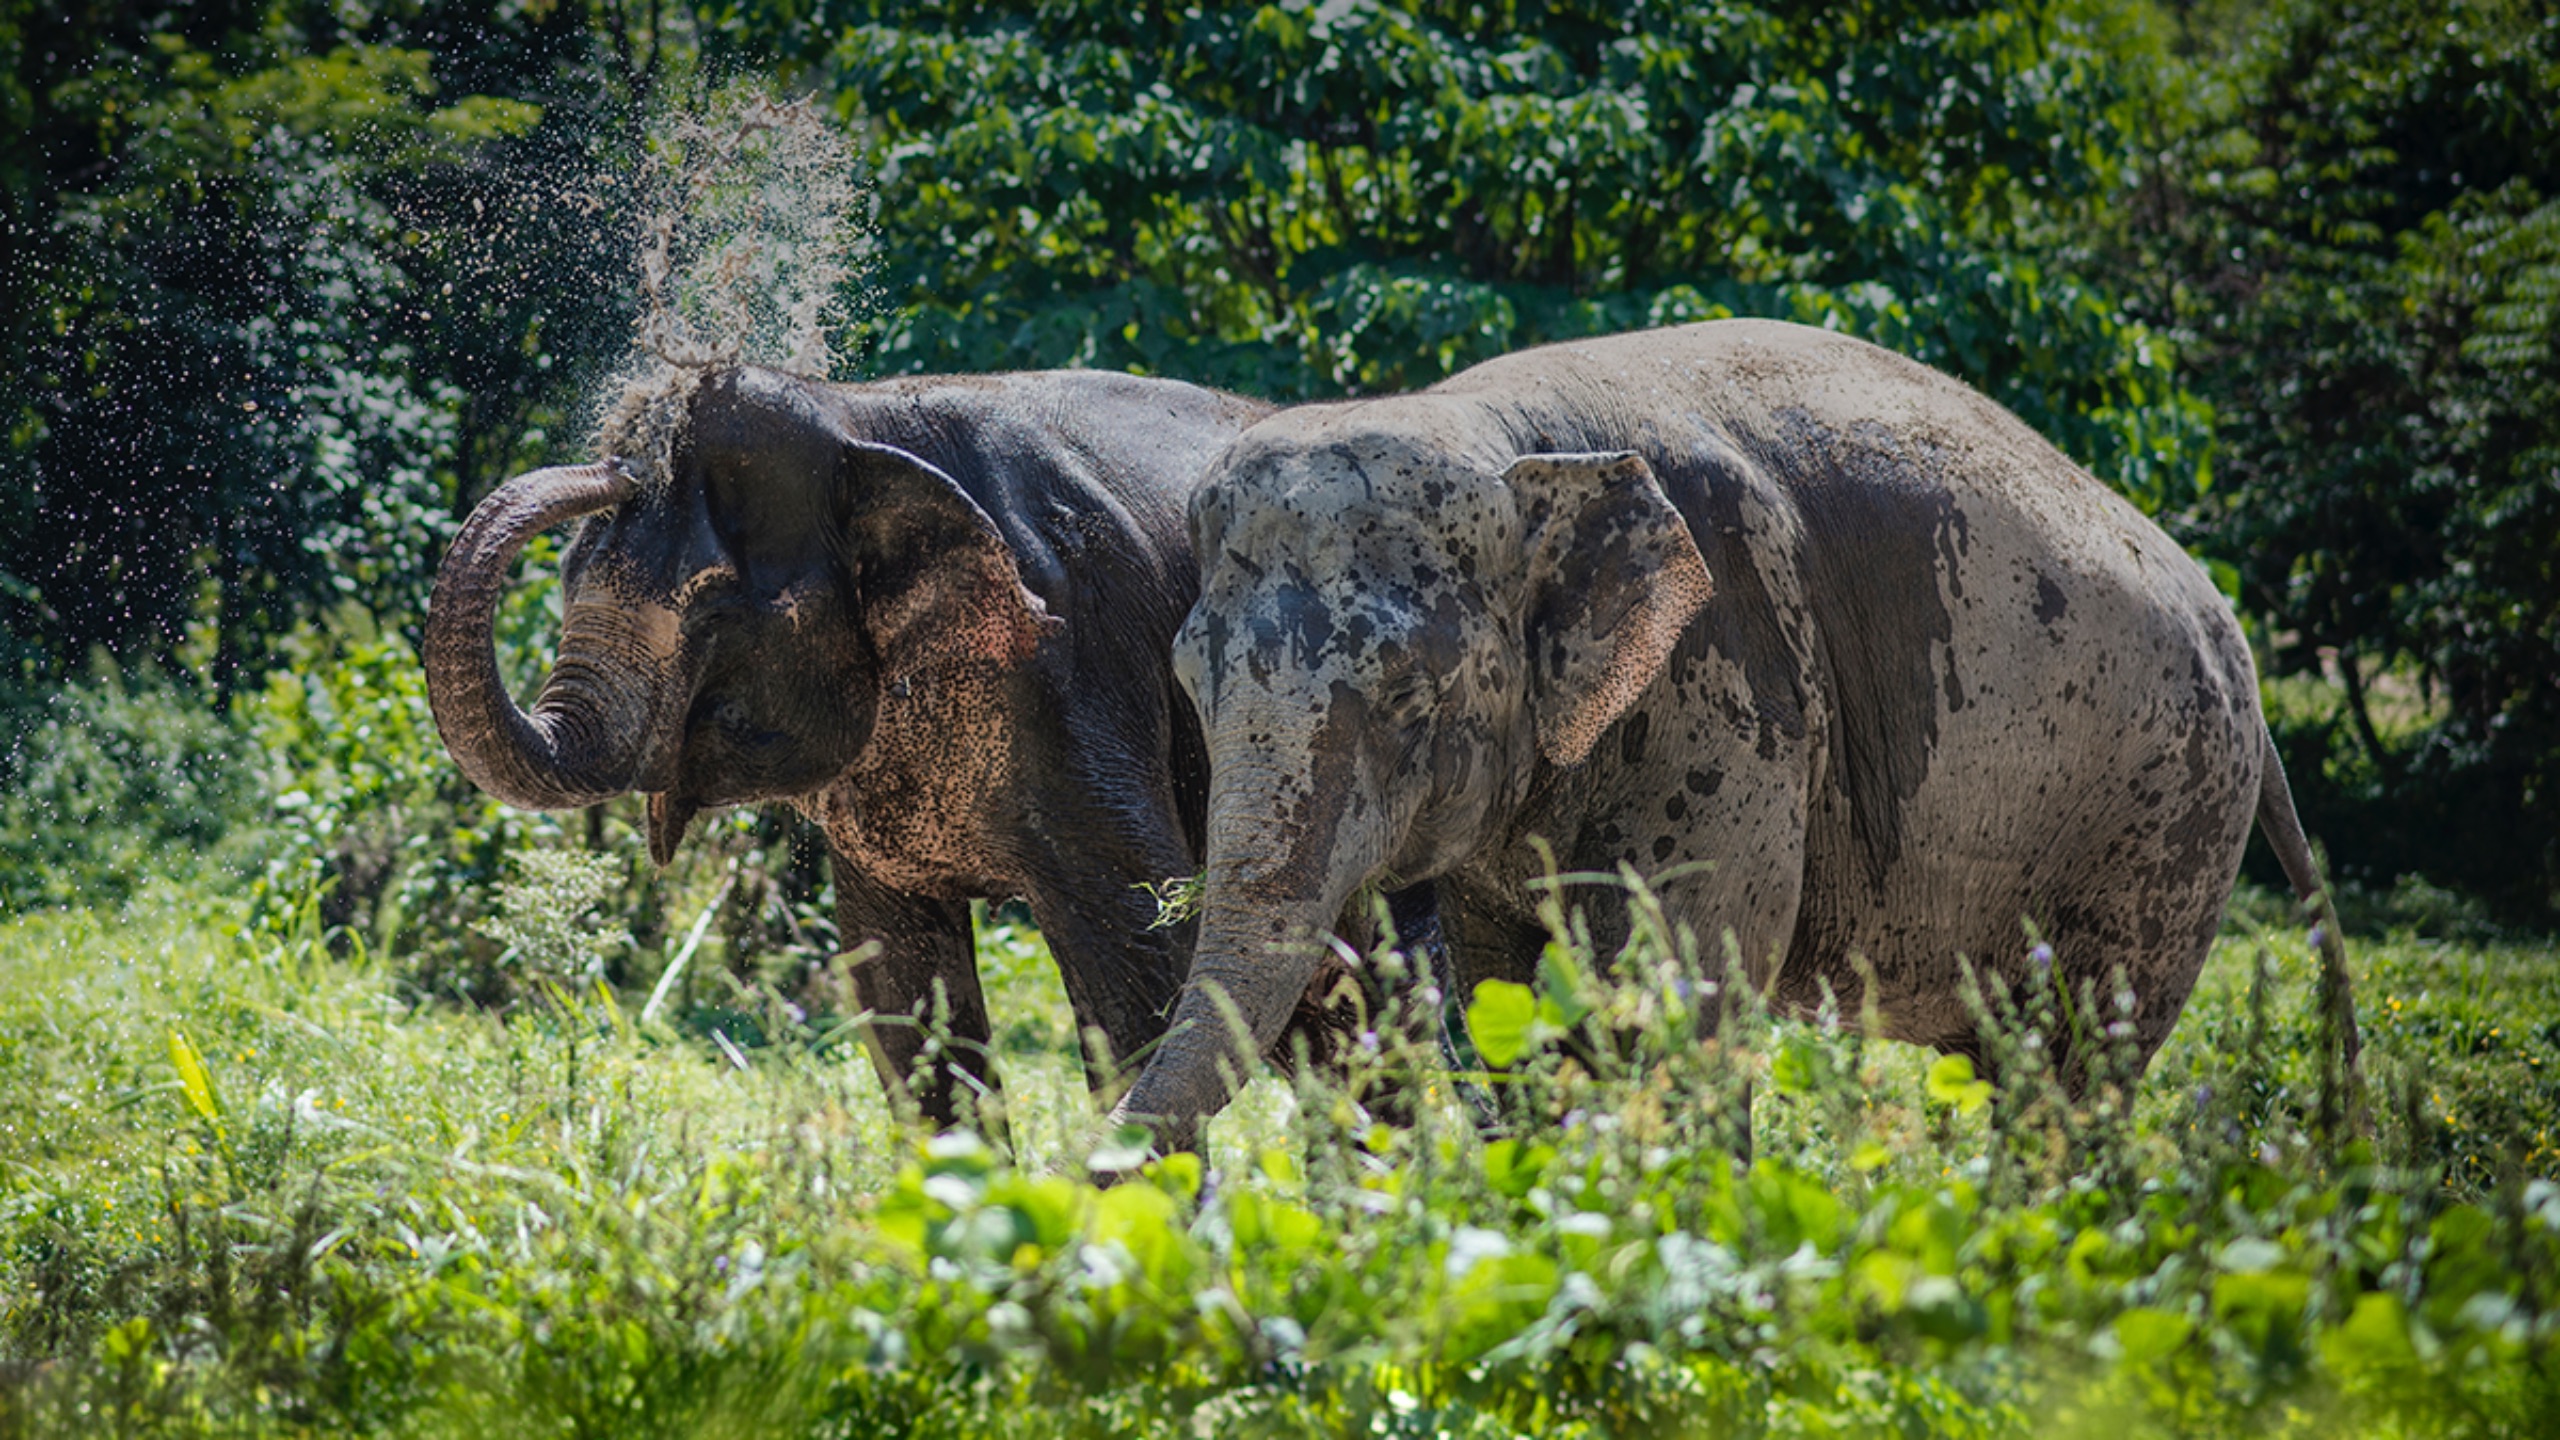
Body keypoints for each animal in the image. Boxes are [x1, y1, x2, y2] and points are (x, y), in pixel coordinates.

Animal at [437, 363, 1310, 1127]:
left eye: (715, 610)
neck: (857, 419)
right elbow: (898, 984)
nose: (619, 467)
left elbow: (1144, 948)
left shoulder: (1082, 667)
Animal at [1116, 316, 2355, 1142]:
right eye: (1188, 683)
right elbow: (1505, 994)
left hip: (2164, 816)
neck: (1508, 439)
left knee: (2078, 1061)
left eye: (1414, 698)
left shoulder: (1730, 693)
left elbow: (1677, 998)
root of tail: (2228, 630)